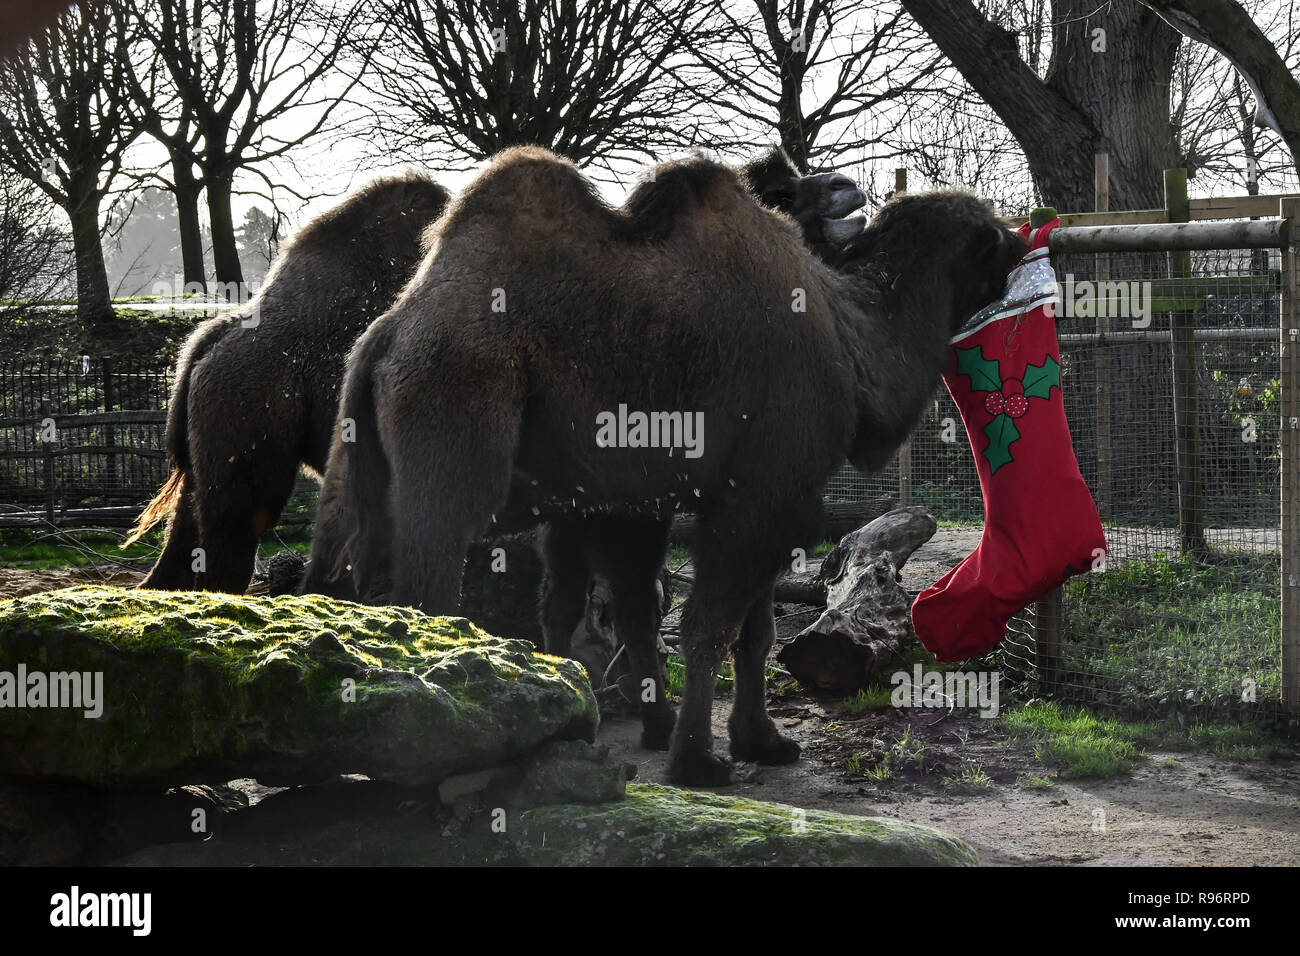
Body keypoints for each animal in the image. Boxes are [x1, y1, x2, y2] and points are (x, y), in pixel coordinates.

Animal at [304, 147, 1024, 785]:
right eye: (990, 234)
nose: (1022, 246)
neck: (851, 340)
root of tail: (385, 338)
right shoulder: (762, 490)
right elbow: (711, 625)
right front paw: (697, 761)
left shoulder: (681, 498)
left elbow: (743, 627)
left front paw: (759, 740)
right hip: (454, 416)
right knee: (429, 582)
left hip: (359, 472)